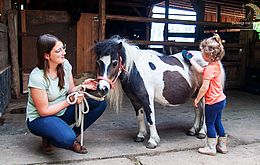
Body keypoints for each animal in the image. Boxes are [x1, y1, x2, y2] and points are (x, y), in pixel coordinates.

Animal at [93, 35, 223, 149]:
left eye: (115, 63)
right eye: (98, 62)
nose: (102, 88)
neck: (135, 70)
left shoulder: (147, 98)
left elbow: (150, 118)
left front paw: (153, 141)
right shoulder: (135, 100)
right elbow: (140, 117)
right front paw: (140, 135)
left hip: (205, 94)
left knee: (205, 111)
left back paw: (202, 132)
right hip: (195, 94)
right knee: (198, 110)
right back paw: (192, 130)